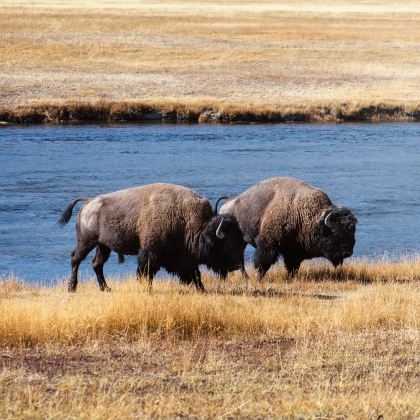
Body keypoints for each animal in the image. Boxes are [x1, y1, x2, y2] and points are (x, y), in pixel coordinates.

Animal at [60, 184, 248, 292]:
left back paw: (106, 288)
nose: (237, 265)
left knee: (97, 264)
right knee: (76, 259)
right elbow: (146, 271)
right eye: (229, 244)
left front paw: (202, 289)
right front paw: (146, 288)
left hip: (103, 246)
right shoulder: (150, 252)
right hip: (87, 242)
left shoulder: (186, 256)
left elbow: (196, 273)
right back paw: (72, 287)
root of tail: (88, 202)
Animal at [217, 176, 358, 278]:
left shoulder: (294, 251)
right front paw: (259, 278)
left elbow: (292, 266)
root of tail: (229, 202)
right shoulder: (268, 246)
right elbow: (263, 263)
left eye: (352, 230)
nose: (348, 252)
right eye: (335, 232)